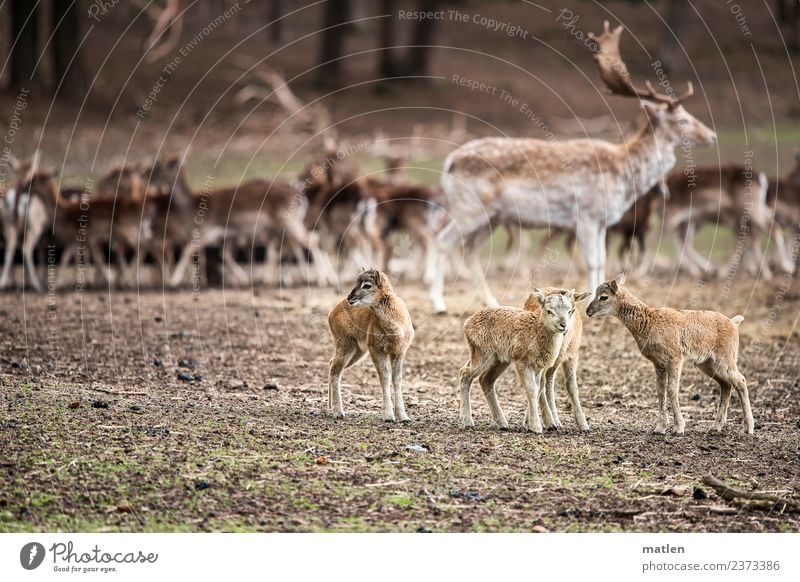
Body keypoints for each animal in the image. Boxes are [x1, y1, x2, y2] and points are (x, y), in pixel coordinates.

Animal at [432, 22, 720, 314]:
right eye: (682, 119)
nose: (712, 135)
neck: (624, 177)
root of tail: (448, 162)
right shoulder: (587, 216)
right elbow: (594, 262)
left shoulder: (603, 221)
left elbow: (603, 260)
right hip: (469, 208)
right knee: (442, 242)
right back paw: (439, 303)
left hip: (493, 217)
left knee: (470, 249)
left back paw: (491, 302)